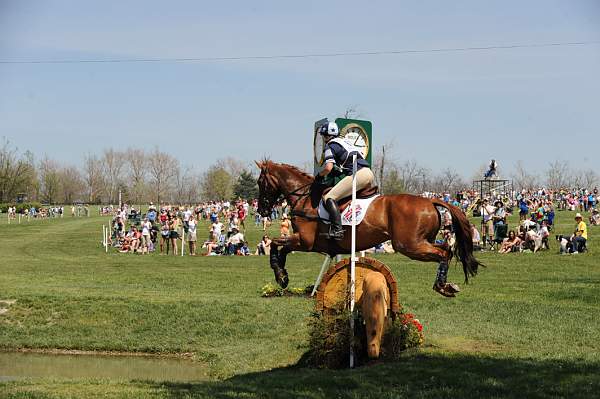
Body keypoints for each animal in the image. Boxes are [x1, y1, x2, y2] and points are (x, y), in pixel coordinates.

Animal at [255, 161, 480, 296]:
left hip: (409, 245)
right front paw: (282, 275)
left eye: (260, 182)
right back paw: (446, 285)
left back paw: (441, 286)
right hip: (423, 241)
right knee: (448, 249)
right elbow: (280, 247)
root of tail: (430, 200)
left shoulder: (305, 241)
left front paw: (280, 275)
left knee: (444, 253)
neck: (305, 197)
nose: (262, 209)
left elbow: (276, 244)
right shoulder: (310, 243)